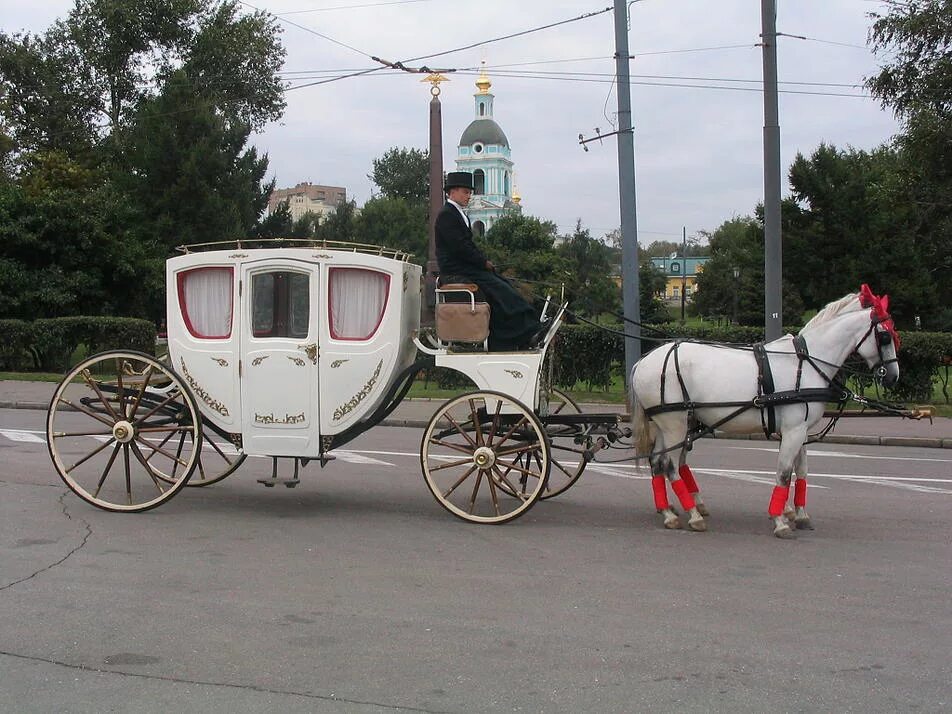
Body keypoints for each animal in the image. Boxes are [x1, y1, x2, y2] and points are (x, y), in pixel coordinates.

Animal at [632, 284, 900, 536]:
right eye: (885, 336)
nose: (893, 376)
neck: (806, 362)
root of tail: (642, 361)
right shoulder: (793, 430)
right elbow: (784, 473)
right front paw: (780, 521)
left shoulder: (800, 431)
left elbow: (801, 471)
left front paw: (800, 515)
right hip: (675, 424)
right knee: (669, 465)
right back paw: (693, 515)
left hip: (666, 425)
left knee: (657, 462)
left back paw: (669, 512)